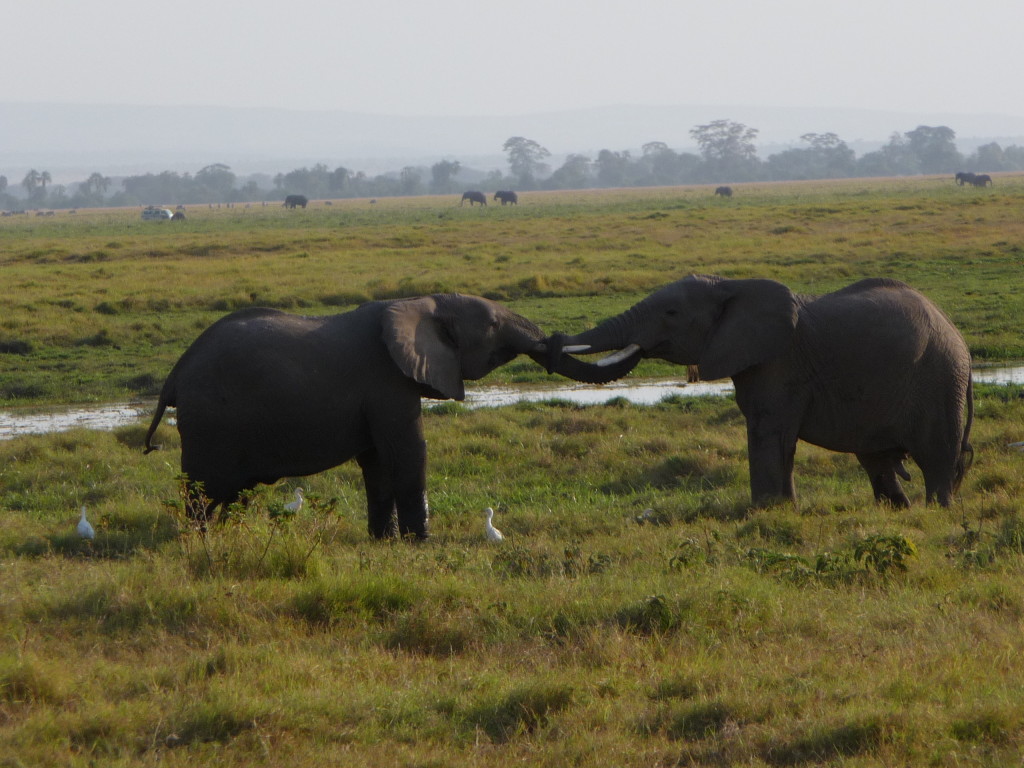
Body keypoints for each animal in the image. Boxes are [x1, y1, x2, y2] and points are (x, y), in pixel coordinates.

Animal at [140, 294, 626, 540]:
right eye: (491, 326)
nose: (556, 341)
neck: (423, 303)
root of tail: (174, 375)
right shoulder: (386, 381)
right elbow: (408, 452)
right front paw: (420, 543)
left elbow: (376, 463)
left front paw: (384, 542)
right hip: (210, 423)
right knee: (203, 491)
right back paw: (201, 541)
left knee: (230, 493)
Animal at [544, 274, 974, 512]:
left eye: (671, 314)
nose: (552, 340)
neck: (731, 286)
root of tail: (959, 338)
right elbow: (775, 437)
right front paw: (783, 509)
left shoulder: (780, 362)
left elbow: (769, 431)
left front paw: (766, 510)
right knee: (877, 460)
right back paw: (897, 511)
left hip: (939, 381)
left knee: (936, 458)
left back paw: (936, 513)